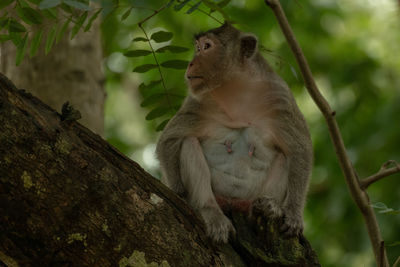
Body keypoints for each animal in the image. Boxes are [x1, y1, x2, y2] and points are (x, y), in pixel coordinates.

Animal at [155, 23, 312, 244]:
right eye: (197, 47)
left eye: (207, 46)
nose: (191, 63)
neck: (237, 88)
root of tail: (233, 204)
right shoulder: (198, 101)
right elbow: (170, 139)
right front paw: (178, 192)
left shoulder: (280, 97)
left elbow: (299, 150)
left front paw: (293, 214)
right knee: (189, 144)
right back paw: (210, 211)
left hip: (250, 200)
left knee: (284, 157)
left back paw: (268, 207)